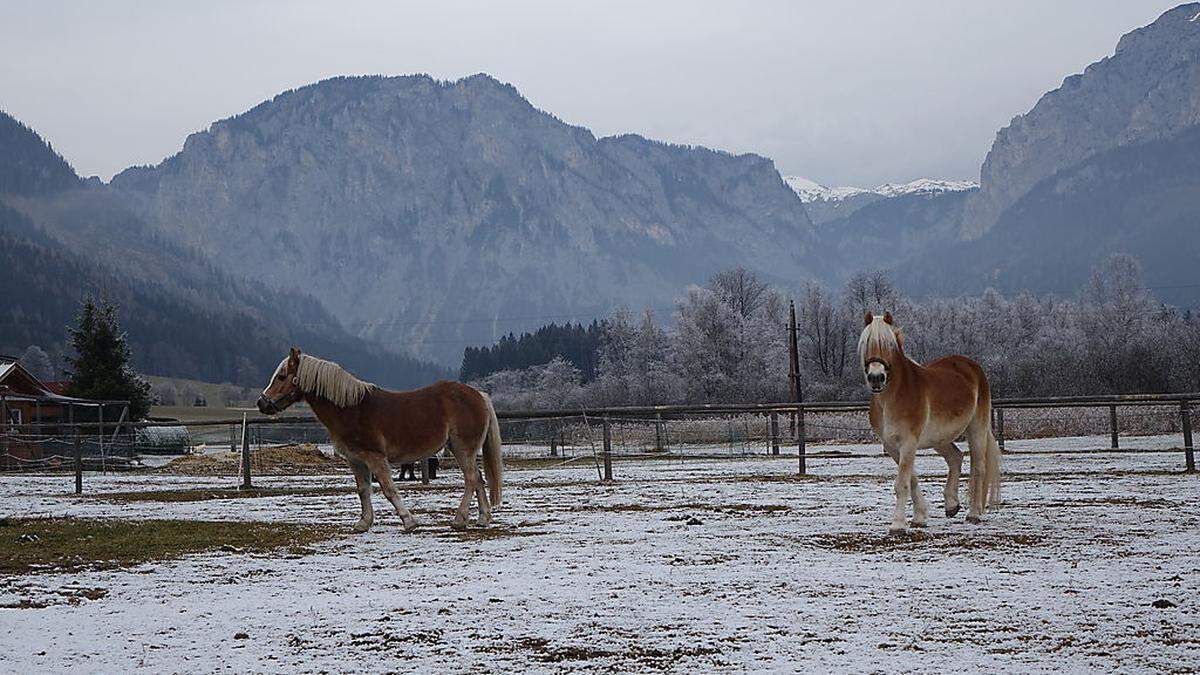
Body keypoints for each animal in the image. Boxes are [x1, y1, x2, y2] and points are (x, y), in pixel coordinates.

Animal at [258, 345, 501, 530]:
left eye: (281, 376)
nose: (262, 403)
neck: (351, 409)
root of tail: (479, 395)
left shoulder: (375, 457)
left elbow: (389, 489)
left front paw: (409, 521)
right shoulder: (356, 460)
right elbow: (363, 490)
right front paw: (364, 523)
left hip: (462, 449)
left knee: (471, 479)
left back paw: (459, 520)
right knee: (479, 479)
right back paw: (482, 519)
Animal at [859, 312, 998, 530]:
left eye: (889, 345)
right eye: (867, 343)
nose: (876, 377)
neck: (893, 397)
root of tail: (972, 366)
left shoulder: (908, 443)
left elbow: (902, 484)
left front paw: (897, 525)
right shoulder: (892, 446)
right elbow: (912, 480)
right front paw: (919, 517)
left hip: (977, 428)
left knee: (978, 467)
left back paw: (974, 514)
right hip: (939, 438)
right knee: (956, 457)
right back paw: (951, 505)